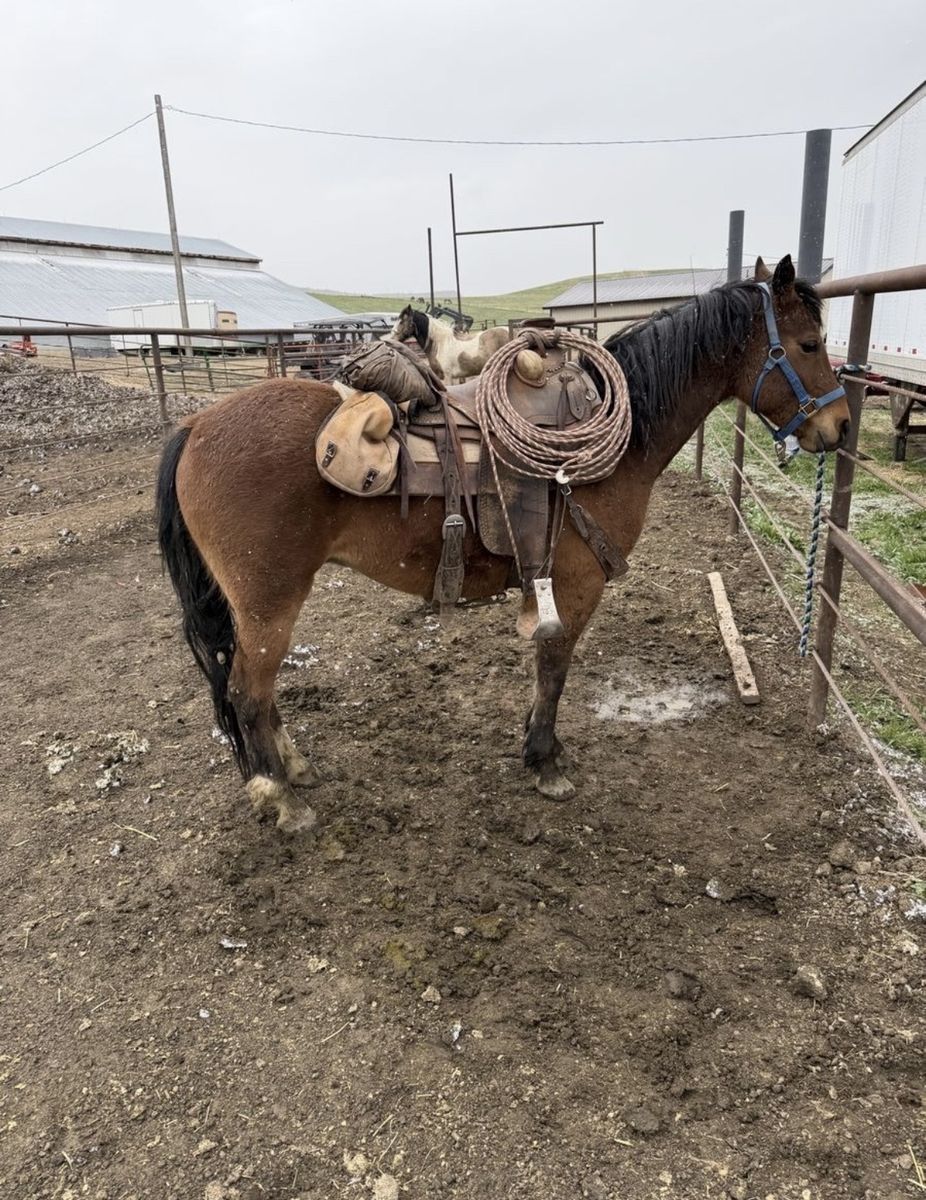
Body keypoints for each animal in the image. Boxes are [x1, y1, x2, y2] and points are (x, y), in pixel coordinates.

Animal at [156, 256, 850, 834]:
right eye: (810, 344)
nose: (840, 427)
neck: (619, 446)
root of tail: (195, 426)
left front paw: (543, 749)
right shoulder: (574, 584)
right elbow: (554, 670)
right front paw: (545, 762)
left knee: (256, 693)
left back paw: (294, 771)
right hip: (269, 601)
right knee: (248, 693)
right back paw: (282, 799)